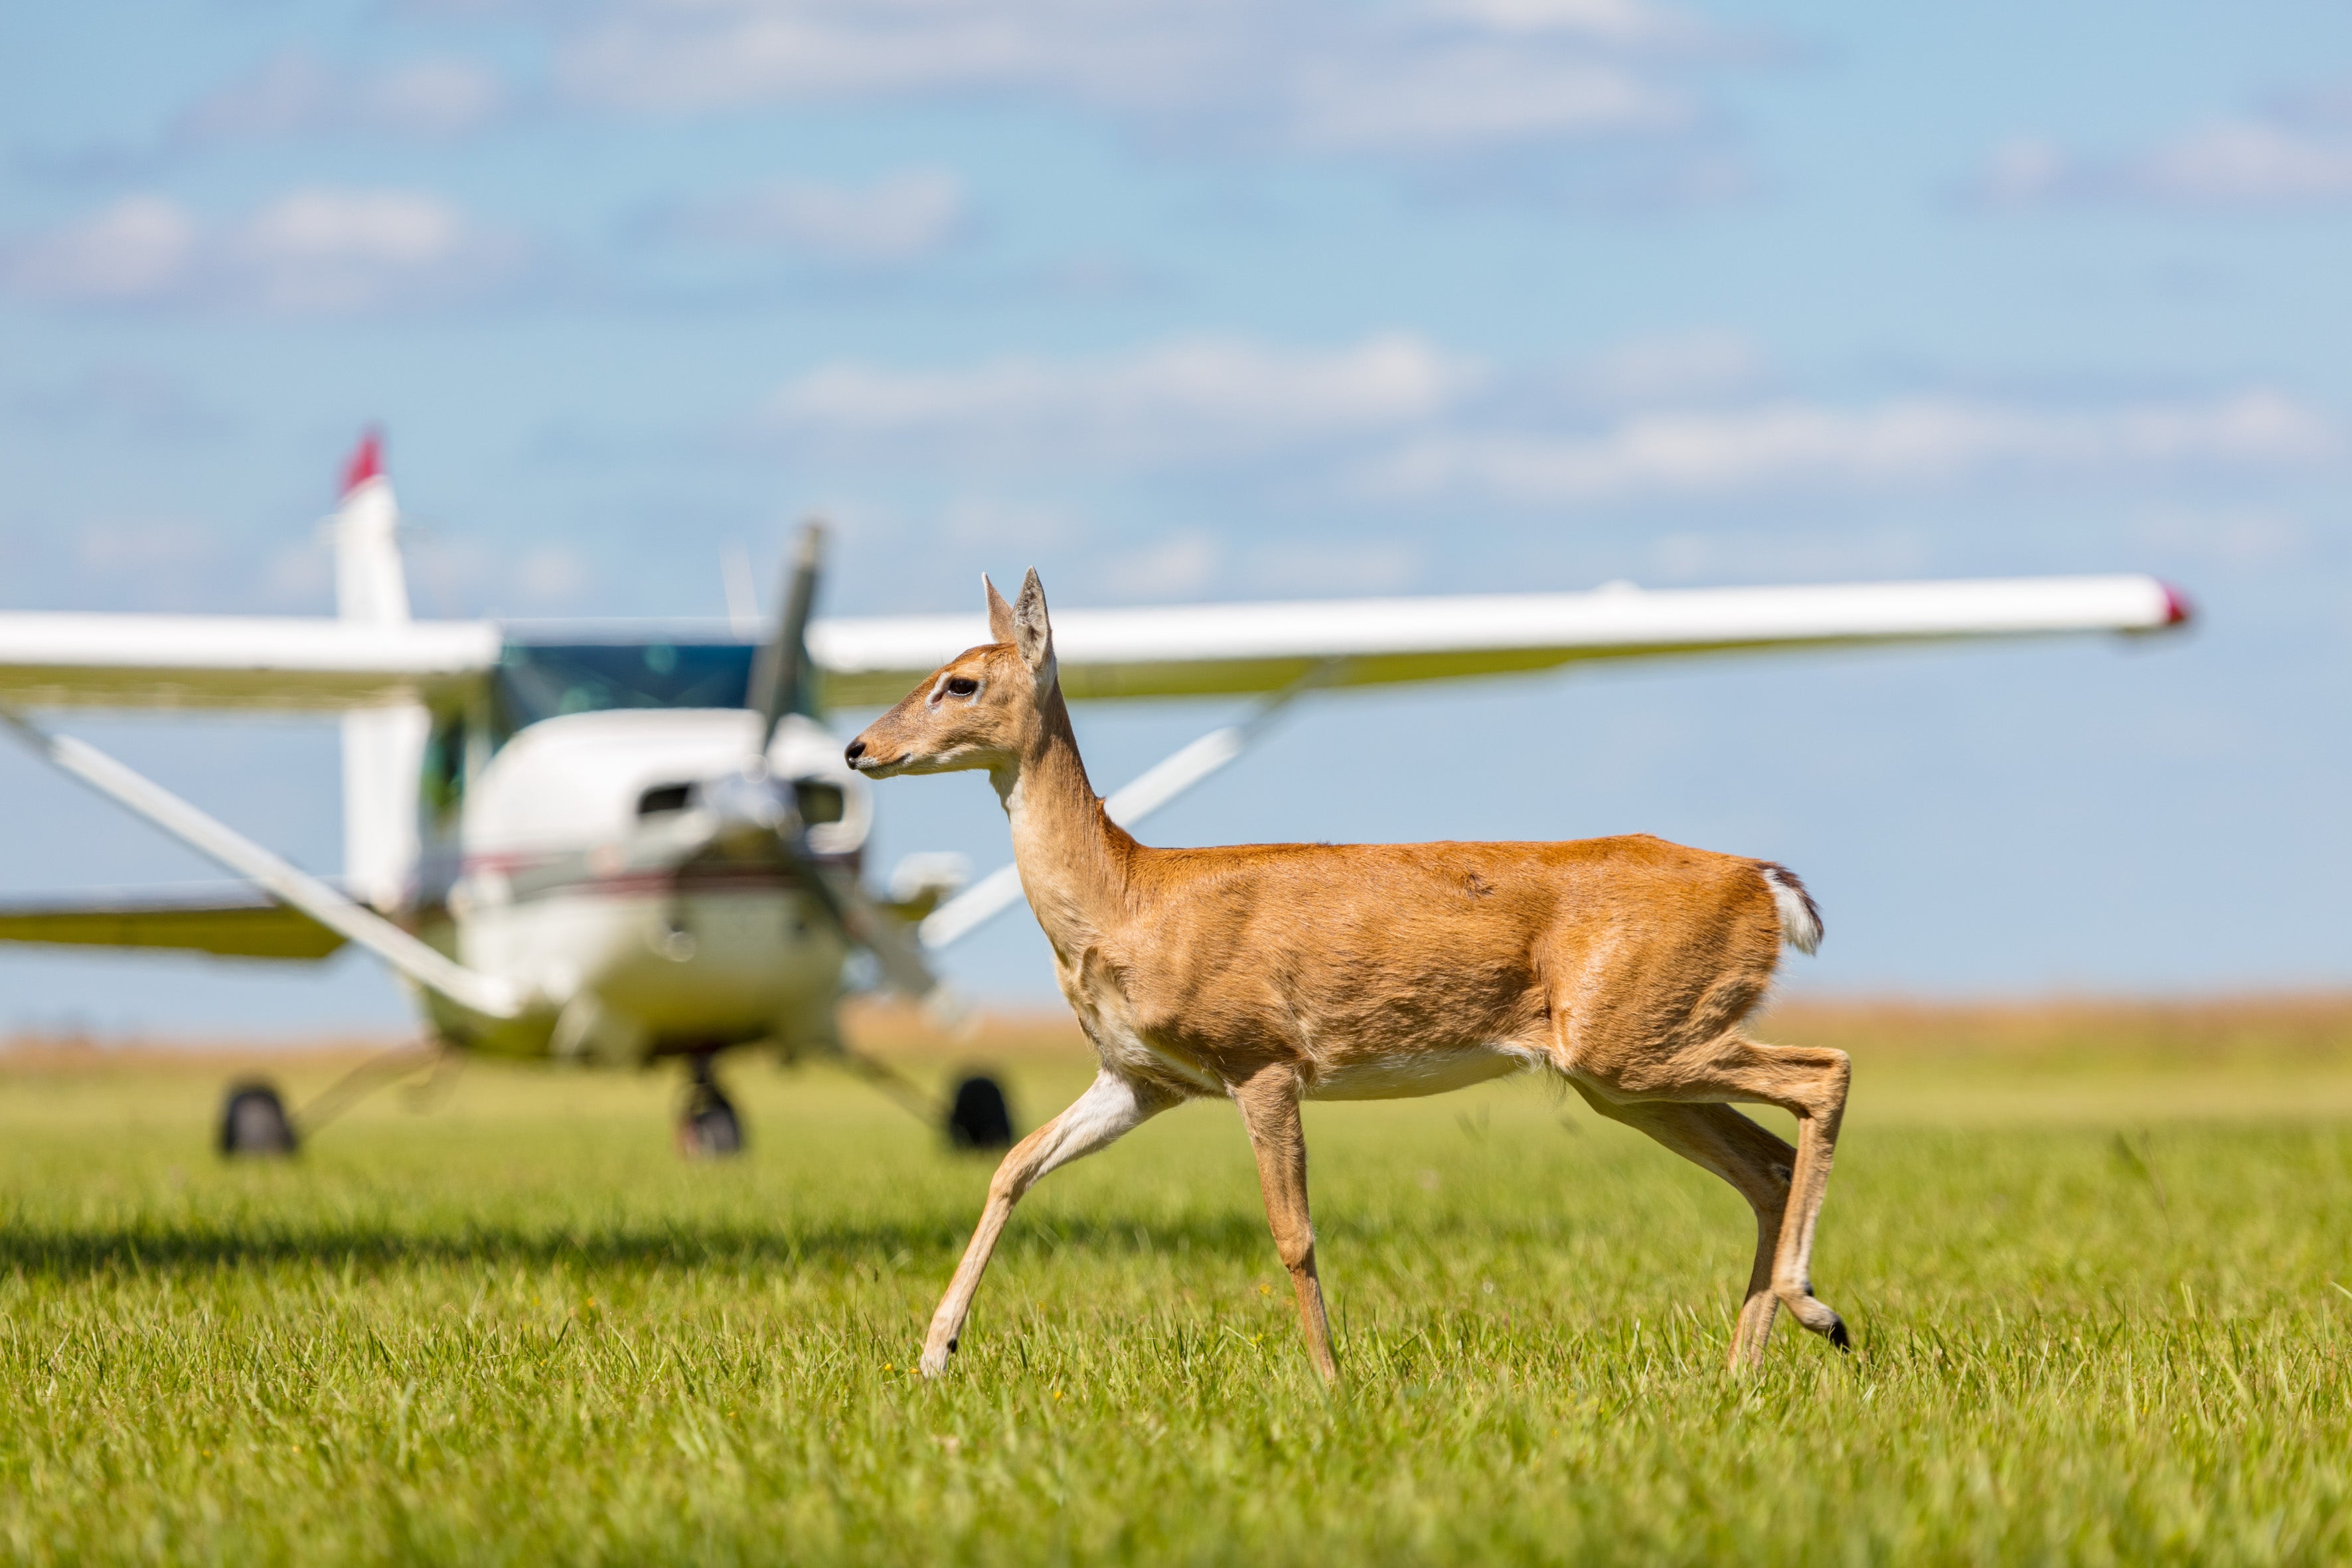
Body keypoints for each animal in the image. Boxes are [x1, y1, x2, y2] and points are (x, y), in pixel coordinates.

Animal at [845, 569, 1852, 1383]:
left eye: (960, 682)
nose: (858, 748)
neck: (1127, 894)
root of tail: (1766, 882)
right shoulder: (1141, 1077)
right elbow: (1012, 1164)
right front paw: (934, 1354)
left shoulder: (1260, 1055)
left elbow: (1292, 1232)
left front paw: (1331, 1382)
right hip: (1628, 1066)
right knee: (1766, 1163)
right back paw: (1746, 1365)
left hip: (1634, 1037)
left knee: (1824, 1073)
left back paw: (1815, 1310)